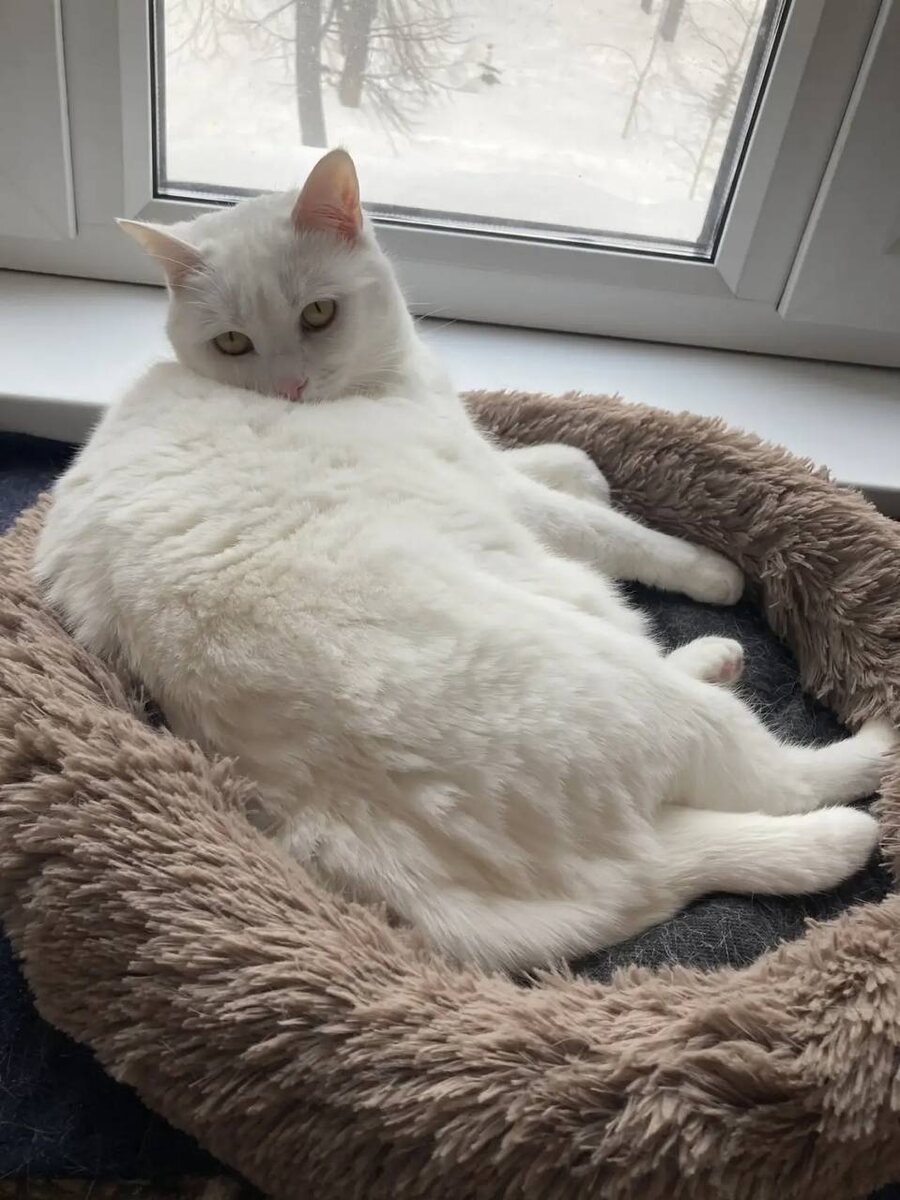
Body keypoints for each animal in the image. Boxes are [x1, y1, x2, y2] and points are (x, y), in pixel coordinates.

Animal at [34, 149, 895, 971]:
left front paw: (593, 472)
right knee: (783, 780)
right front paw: (711, 568)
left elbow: (572, 463)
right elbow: (609, 531)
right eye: (233, 342)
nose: (291, 386)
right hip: (625, 684)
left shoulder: (482, 455)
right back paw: (866, 748)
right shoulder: (497, 492)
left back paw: (714, 660)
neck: (391, 386)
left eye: (318, 314)